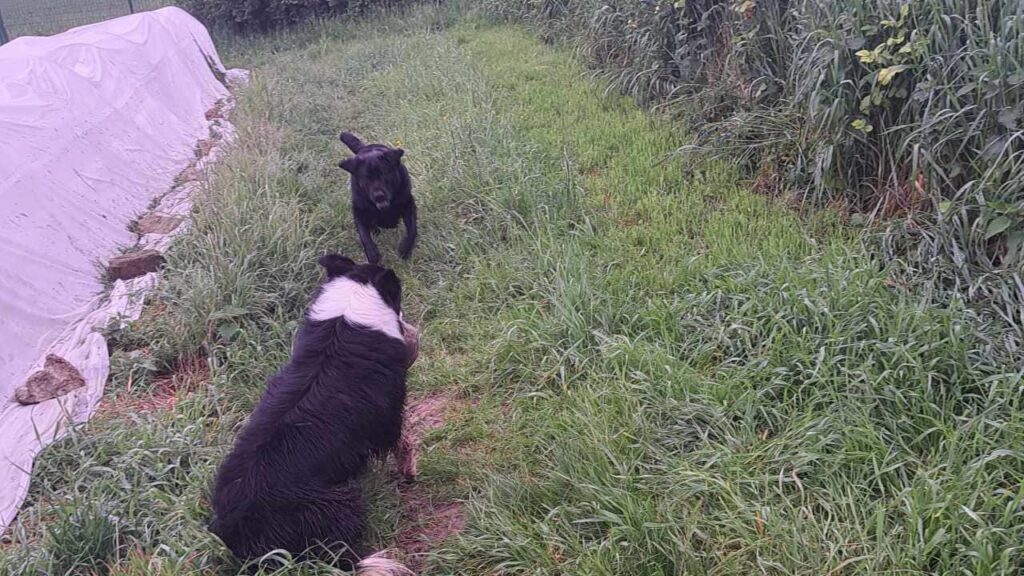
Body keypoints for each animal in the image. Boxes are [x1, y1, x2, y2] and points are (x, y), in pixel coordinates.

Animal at [209, 253, 417, 569]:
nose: (410, 329)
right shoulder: (390, 416)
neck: (344, 319)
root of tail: (242, 533)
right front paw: (408, 472)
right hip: (341, 502)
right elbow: (403, 441)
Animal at [337, 131, 413, 264]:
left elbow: (412, 229)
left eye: (385, 174)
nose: (378, 196)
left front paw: (406, 248)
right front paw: (372, 253)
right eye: (366, 180)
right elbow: (363, 233)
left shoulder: (408, 203)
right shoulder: (358, 210)